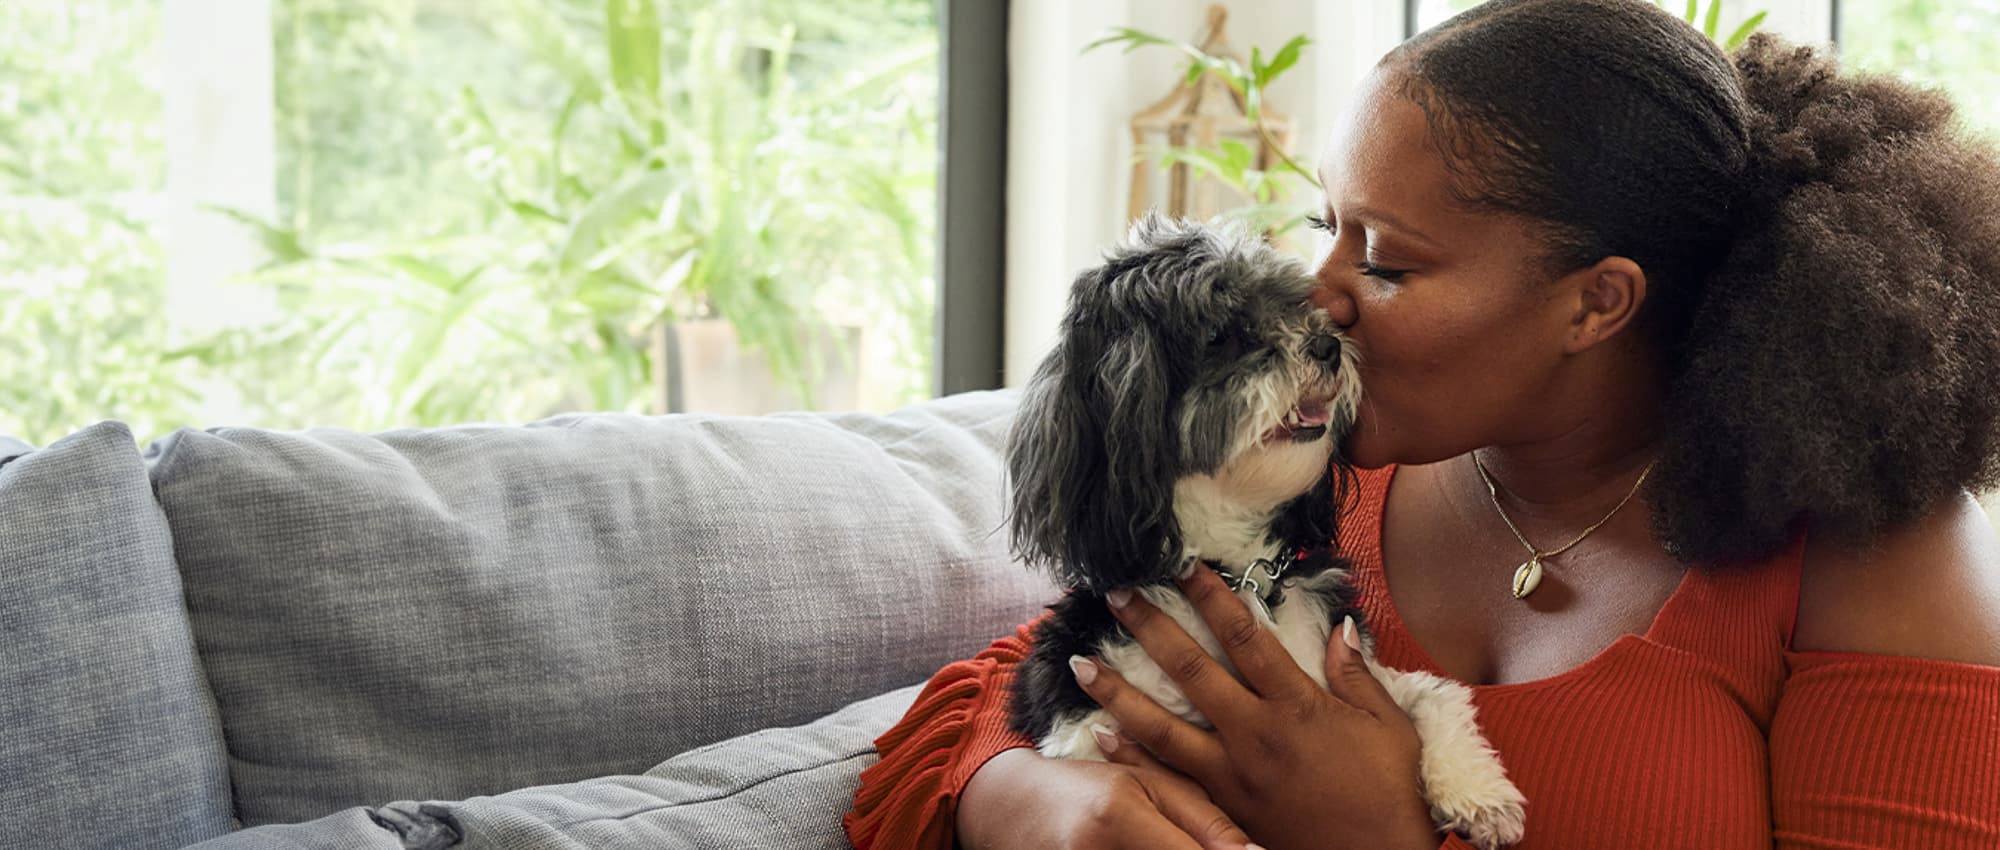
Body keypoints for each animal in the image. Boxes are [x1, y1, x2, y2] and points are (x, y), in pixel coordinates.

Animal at [1000, 214, 1528, 848]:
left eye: (1296, 307)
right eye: (1222, 334)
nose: (1328, 344)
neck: (1240, 573)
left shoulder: (1353, 671)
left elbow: (1437, 695)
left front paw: (1478, 793)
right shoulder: (1082, 711)